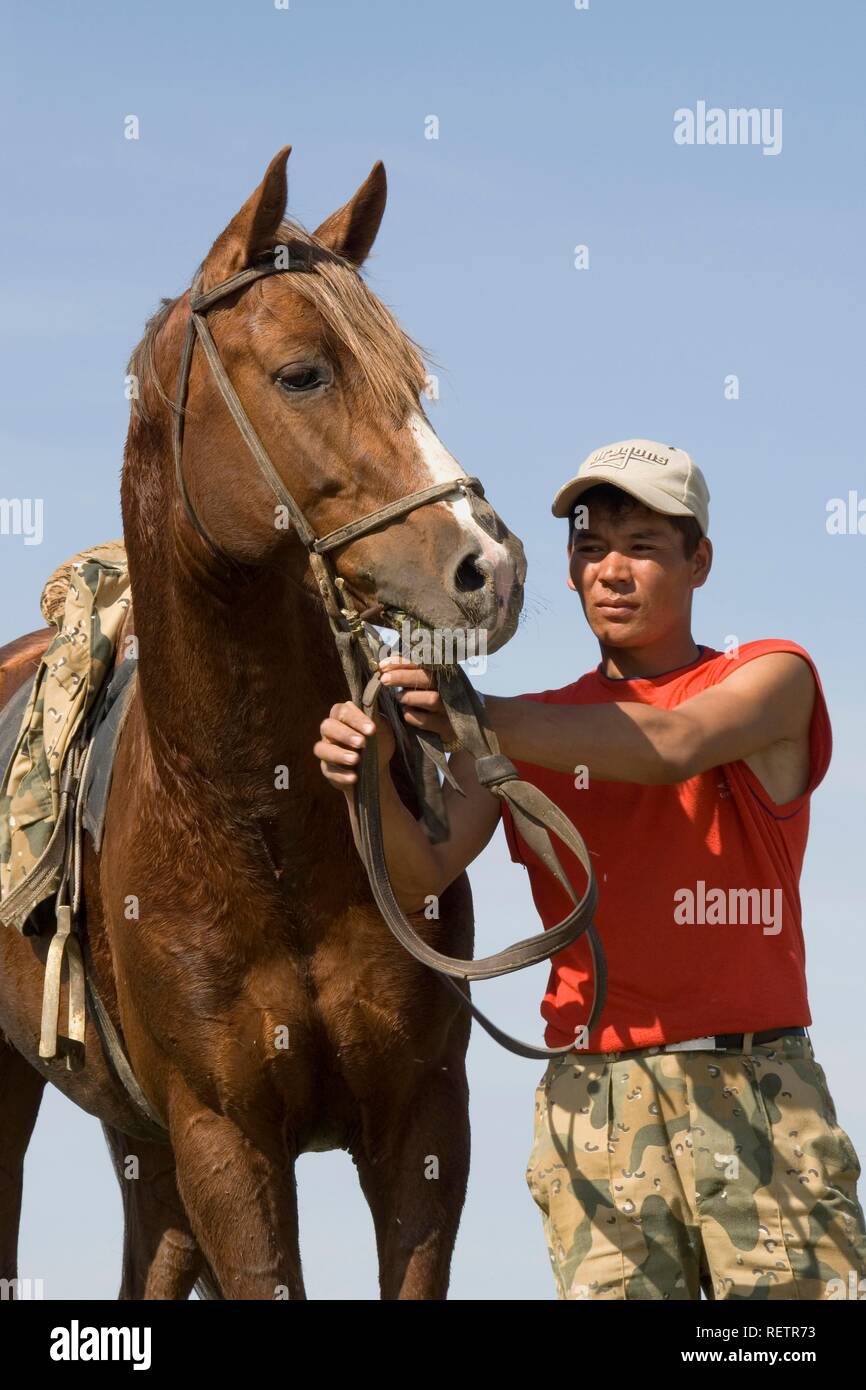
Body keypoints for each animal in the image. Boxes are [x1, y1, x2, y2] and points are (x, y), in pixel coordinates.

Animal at [0, 147, 526, 1299]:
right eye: (302, 374)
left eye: (413, 378)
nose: (489, 567)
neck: (255, 831)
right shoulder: (226, 1142)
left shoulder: (422, 1126)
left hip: (143, 1148)